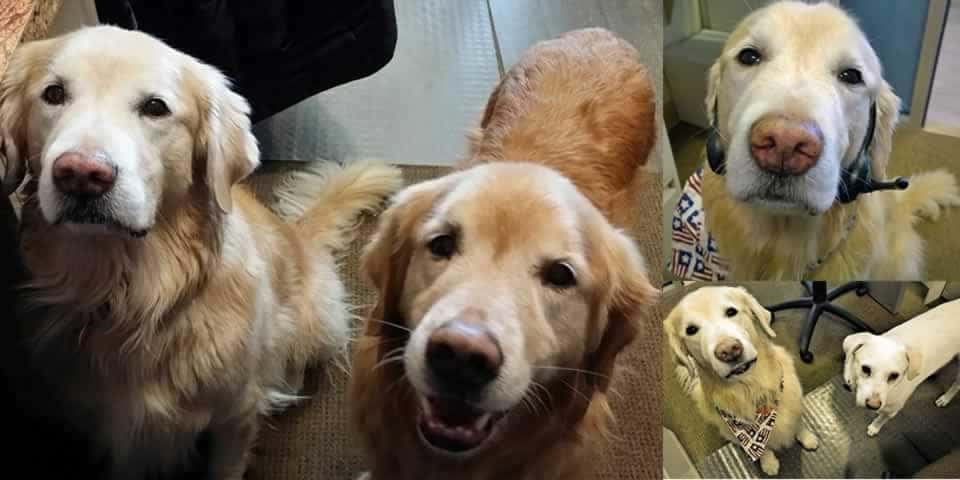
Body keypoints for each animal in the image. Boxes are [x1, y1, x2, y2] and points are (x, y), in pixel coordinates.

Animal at [0, 26, 400, 480]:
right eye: (53, 94)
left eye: (155, 107)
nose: (82, 174)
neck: (129, 296)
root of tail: (299, 233)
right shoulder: (117, 432)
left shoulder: (235, 416)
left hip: (316, 318)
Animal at [664, 284, 820, 476]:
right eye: (691, 330)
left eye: (731, 311)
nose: (729, 350)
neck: (752, 389)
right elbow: (763, 449)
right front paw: (768, 462)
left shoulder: (794, 404)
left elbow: (798, 423)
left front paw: (807, 437)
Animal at [840, 300, 960, 438]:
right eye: (865, 369)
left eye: (894, 375)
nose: (873, 406)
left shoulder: (893, 410)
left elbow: (882, 419)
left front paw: (874, 427)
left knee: (957, 385)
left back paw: (945, 399)